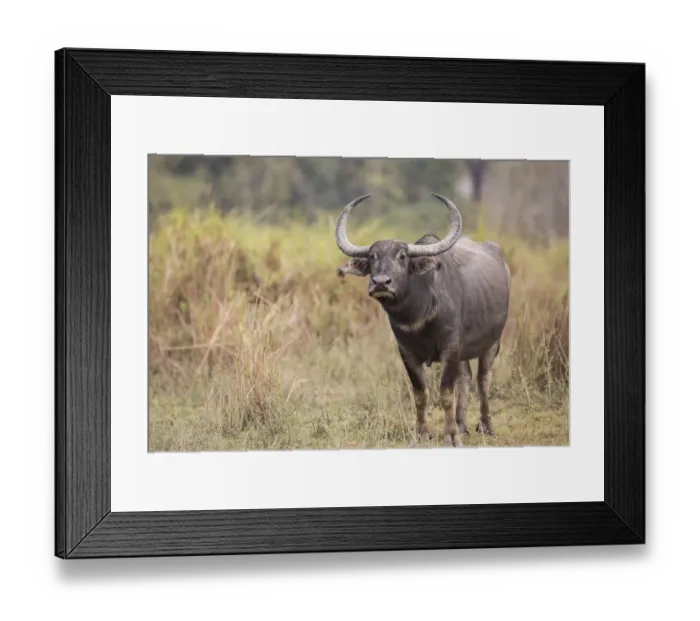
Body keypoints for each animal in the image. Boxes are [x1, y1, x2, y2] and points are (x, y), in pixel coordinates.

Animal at [335, 193, 511, 448]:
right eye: (372, 256)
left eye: (402, 256)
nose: (381, 283)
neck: (420, 313)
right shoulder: (407, 352)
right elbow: (421, 394)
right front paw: (421, 435)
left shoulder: (450, 347)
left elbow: (445, 393)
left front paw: (450, 437)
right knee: (466, 378)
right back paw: (462, 425)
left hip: (493, 342)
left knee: (483, 380)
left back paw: (485, 426)